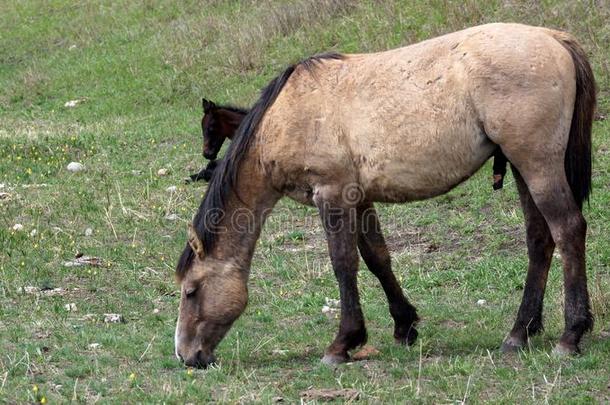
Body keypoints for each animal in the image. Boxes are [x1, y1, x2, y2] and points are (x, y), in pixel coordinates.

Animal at [173, 23, 592, 368]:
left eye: (191, 291)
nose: (186, 355)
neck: (288, 116)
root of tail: (554, 38)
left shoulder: (332, 195)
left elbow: (344, 264)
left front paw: (342, 343)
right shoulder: (358, 198)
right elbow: (377, 258)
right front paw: (404, 326)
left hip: (537, 165)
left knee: (568, 229)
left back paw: (571, 335)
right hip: (522, 168)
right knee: (539, 240)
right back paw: (519, 333)